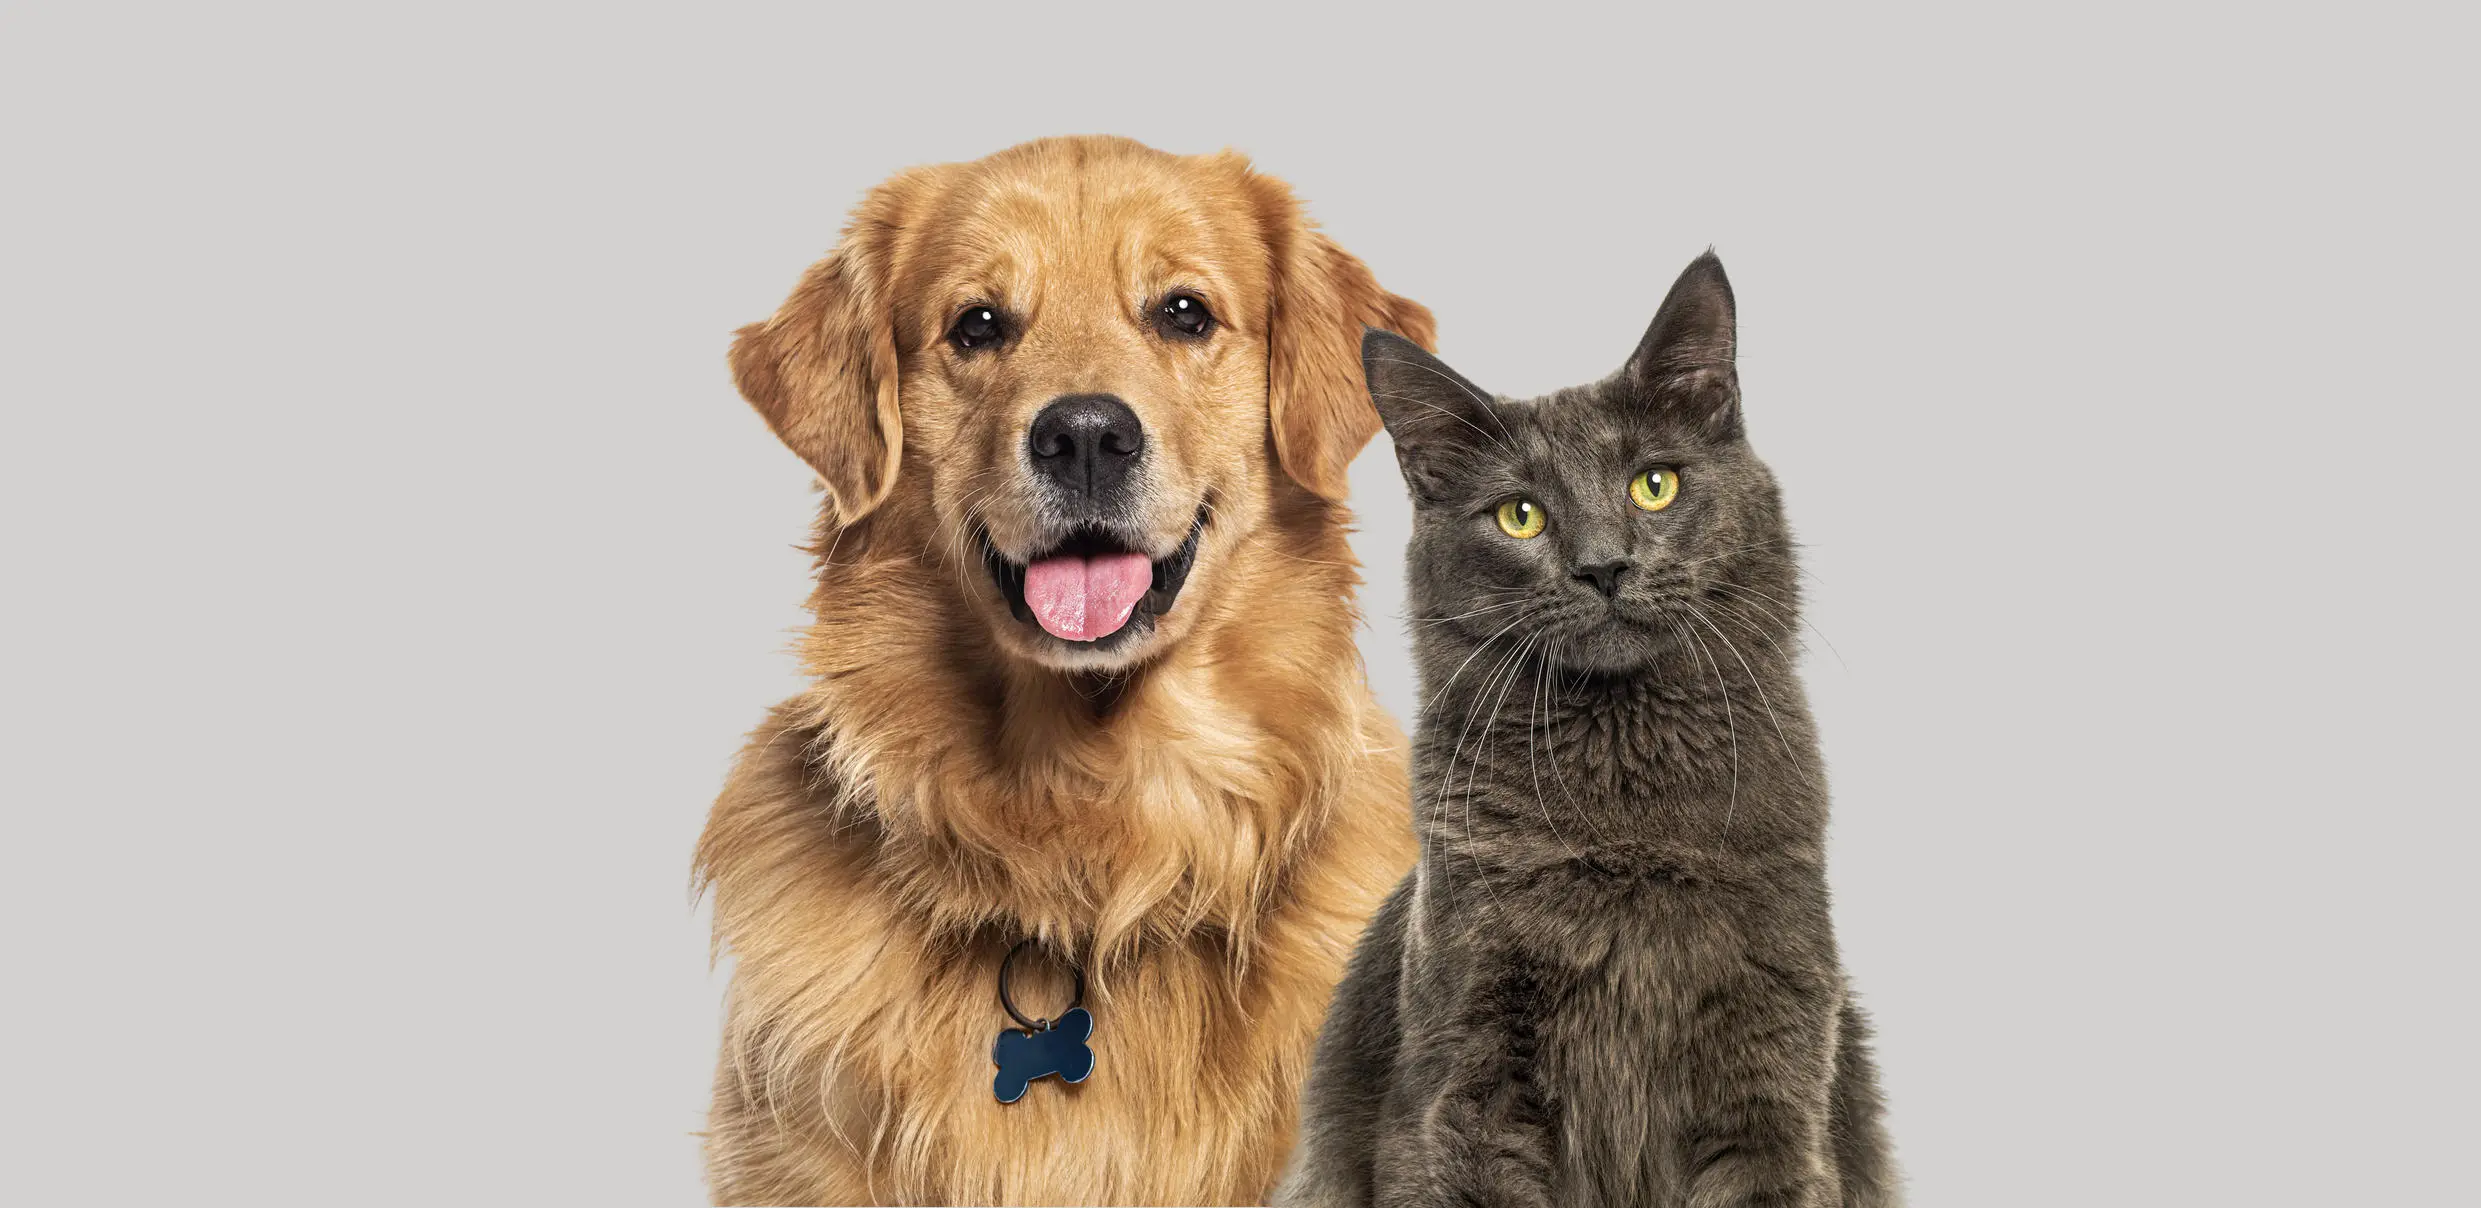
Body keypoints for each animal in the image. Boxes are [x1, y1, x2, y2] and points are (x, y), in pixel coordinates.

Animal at [1280, 255, 1895, 1208]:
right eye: (1520, 514)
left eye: (1654, 484)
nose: (1603, 565)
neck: (1625, 813)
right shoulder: (1464, 1082)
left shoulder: (1775, 1070)